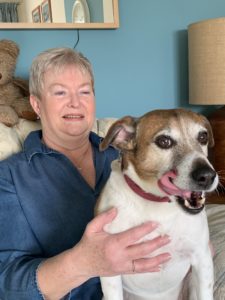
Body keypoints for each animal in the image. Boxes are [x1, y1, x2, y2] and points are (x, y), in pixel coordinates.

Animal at [96, 108, 219, 300]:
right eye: (164, 141)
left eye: (203, 136)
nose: (207, 176)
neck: (159, 205)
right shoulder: (111, 269)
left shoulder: (202, 258)